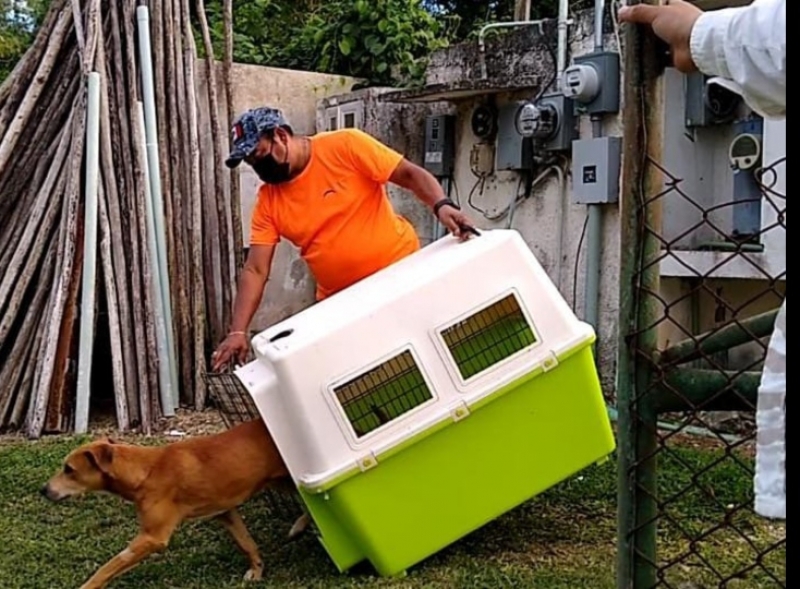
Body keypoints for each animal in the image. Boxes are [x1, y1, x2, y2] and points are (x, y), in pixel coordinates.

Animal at [42, 418, 310, 588]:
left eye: (69, 470)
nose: (43, 490)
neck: (144, 471)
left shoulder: (152, 538)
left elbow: (109, 566)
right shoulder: (224, 512)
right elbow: (247, 543)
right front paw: (257, 570)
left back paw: (298, 526)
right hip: (283, 481)